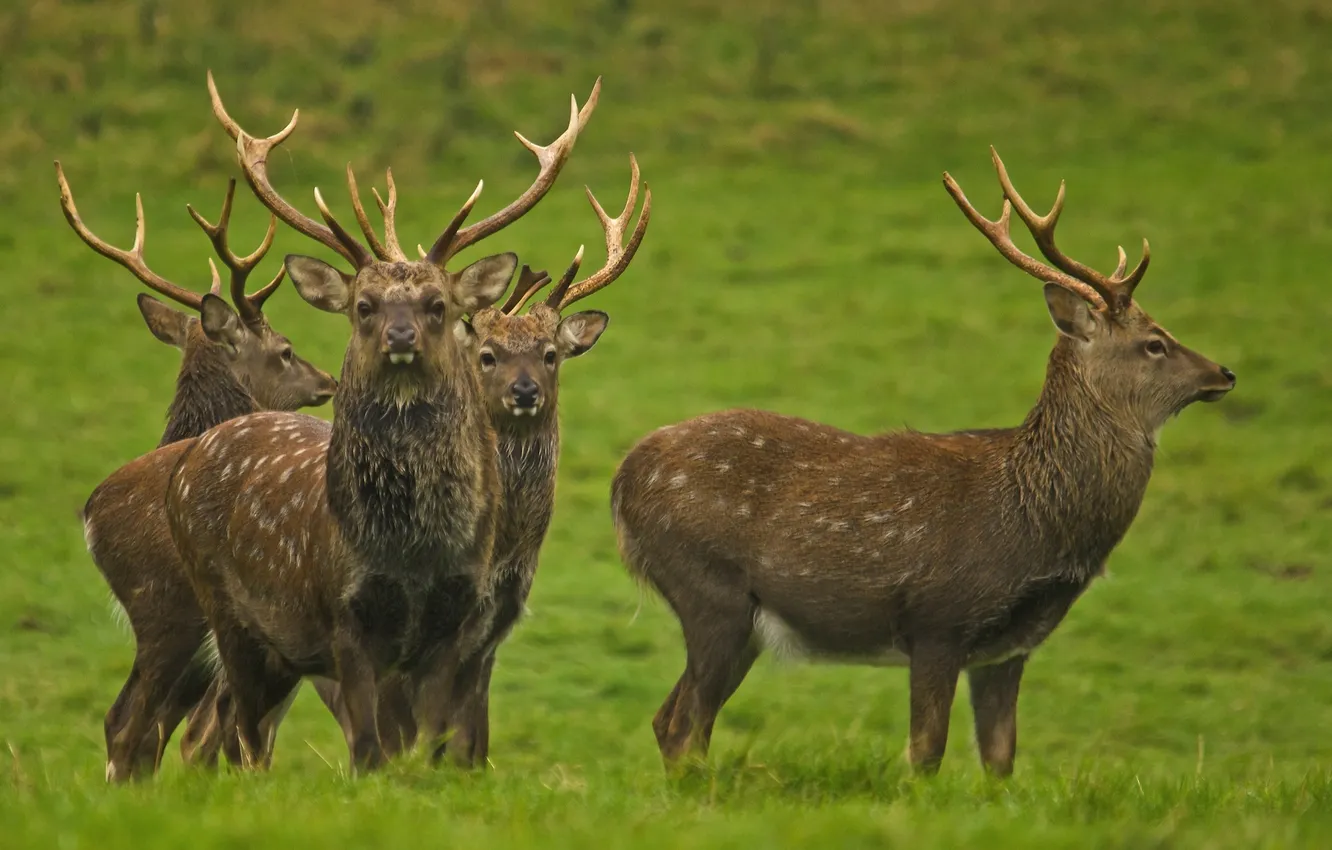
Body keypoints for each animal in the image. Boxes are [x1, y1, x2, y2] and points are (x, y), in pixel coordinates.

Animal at [57, 165, 338, 782]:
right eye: (286, 349)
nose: (327, 380)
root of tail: (89, 519)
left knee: (148, 731)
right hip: (168, 610)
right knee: (132, 723)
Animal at [159, 71, 600, 774]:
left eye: (437, 303)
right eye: (363, 305)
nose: (400, 334)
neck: (412, 548)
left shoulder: (462, 621)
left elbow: (443, 744)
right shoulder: (349, 618)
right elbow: (376, 750)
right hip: (228, 614)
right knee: (232, 733)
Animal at [305, 155, 652, 768]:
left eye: (551, 354)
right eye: (486, 356)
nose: (524, 391)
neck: (505, 548)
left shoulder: (492, 628)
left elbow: (471, 739)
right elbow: (412, 732)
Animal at [609, 147, 1237, 778]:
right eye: (1155, 343)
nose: (1225, 373)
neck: (1035, 530)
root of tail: (623, 480)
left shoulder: (1010, 647)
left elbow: (1001, 760)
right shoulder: (939, 619)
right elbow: (926, 751)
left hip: (743, 624)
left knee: (670, 720)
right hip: (710, 590)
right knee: (684, 724)